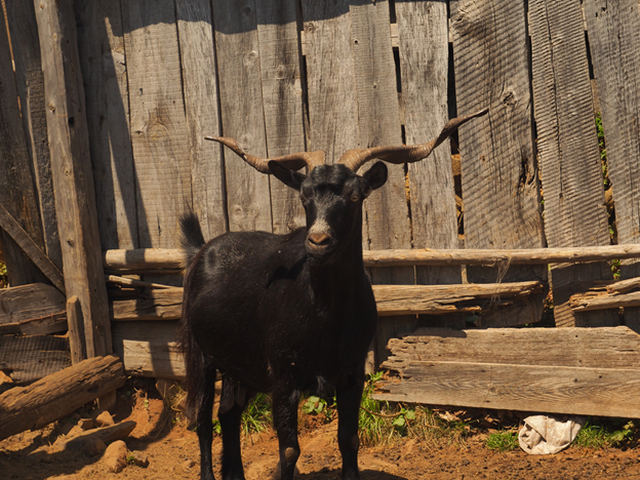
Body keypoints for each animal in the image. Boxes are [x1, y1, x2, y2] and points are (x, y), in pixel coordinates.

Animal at [181, 109, 487, 480]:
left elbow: (349, 440)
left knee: (229, 413)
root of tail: (201, 252)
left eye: (355, 196)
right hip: (200, 356)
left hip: (237, 364)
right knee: (201, 421)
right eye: (304, 197)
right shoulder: (283, 378)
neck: (325, 317)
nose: (318, 241)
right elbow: (289, 450)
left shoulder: (351, 373)